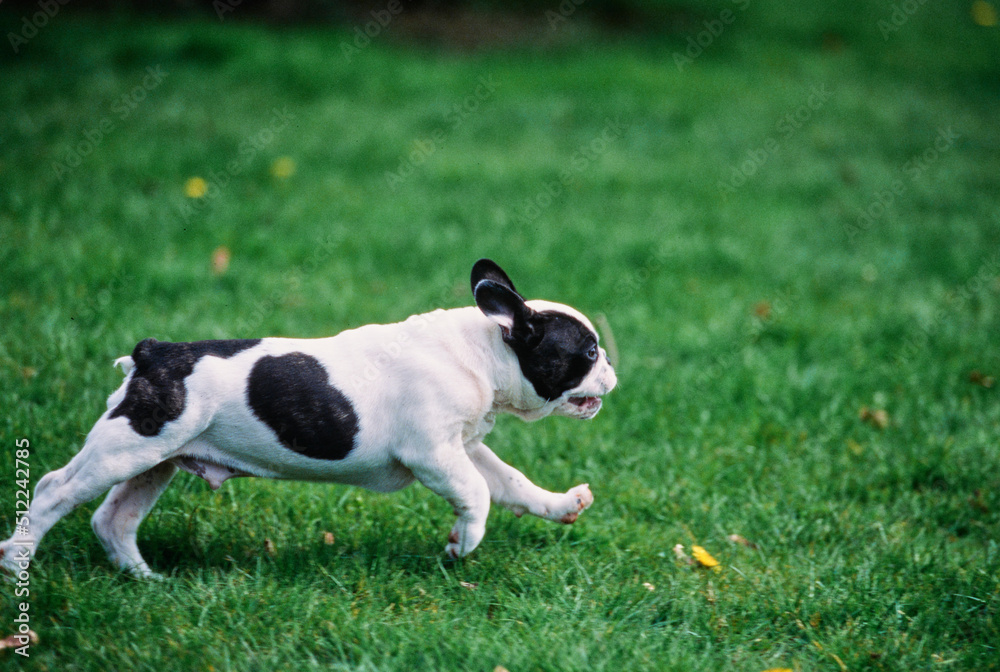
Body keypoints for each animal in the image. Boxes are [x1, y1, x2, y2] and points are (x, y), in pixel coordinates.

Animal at [1, 258, 616, 576]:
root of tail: (154, 353)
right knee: (56, 489)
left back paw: (145, 578)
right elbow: (478, 494)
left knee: (115, 517)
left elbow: (509, 482)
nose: (612, 365)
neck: (486, 351)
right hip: (129, 444)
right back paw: (16, 560)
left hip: (156, 457)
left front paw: (559, 504)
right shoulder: (435, 454)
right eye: (587, 352)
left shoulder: (463, 448)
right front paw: (460, 544)